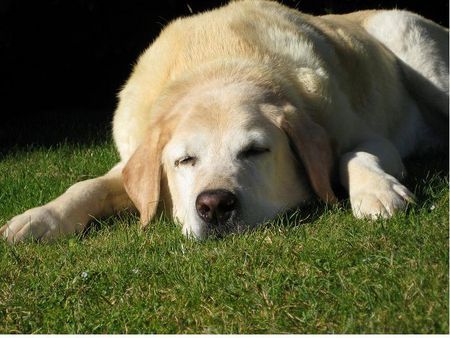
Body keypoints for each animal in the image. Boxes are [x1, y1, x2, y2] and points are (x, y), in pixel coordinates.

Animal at [1, 0, 448, 243]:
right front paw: (37, 219)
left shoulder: (366, 136)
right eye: (184, 161)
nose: (214, 205)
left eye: (255, 150)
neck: (218, 61)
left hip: (407, 41)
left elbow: (352, 156)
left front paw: (377, 193)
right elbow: (87, 186)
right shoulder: (129, 161)